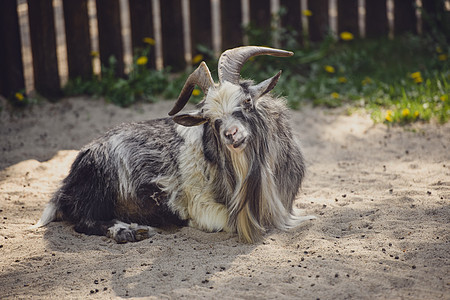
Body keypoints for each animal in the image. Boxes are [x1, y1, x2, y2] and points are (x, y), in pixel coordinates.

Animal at [35, 47, 314, 244]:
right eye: (211, 119)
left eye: (246, 101)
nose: (231, 135)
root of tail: (66, 185)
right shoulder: (205, 209)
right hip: (98, 186)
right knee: (83, 221)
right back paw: (129, 231)